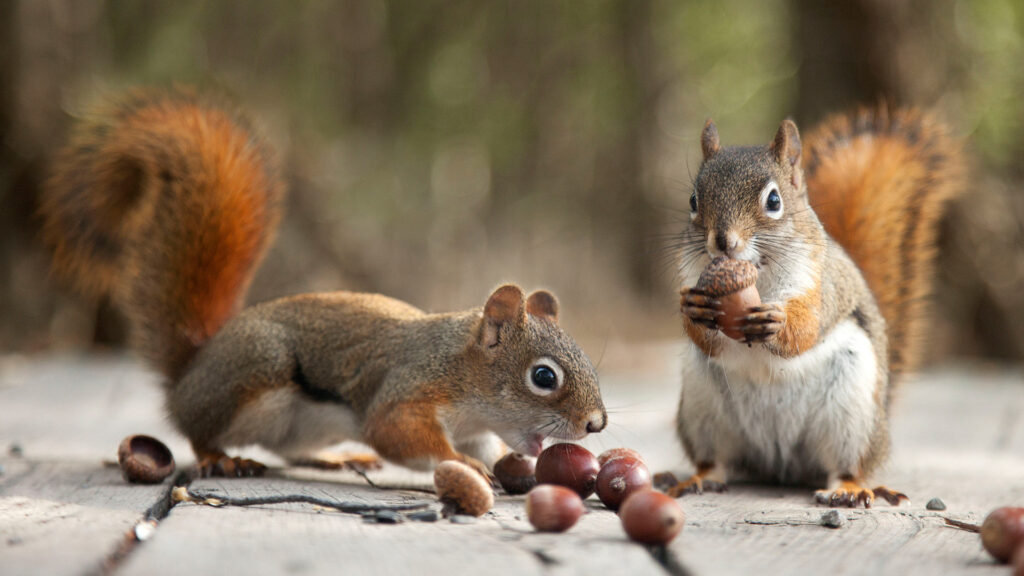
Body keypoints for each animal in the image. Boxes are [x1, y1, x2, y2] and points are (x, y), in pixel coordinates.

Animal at [39, 88, 602, 475]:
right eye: (544, 376)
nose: (597, 424)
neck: (464, 373)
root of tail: (190, 370)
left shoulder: (475, 427)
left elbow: (486, 445)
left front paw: (498, 463)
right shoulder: (410, 391)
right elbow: (399, 434)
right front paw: (462, 467)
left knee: (289, 450)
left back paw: (335, 460)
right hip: (253, 371)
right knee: (197, 429)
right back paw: (221, 457)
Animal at [667, 105, 962, 504]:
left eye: (774, 201)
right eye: (693, 201)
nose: (723, 242)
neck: (758, 274)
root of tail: (779, 465)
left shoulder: (820, 284)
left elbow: (807, 327)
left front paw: (777, 323)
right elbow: (705, 337)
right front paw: (694, 307)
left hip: (852, 416)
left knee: (846, 465)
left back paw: (849, 489)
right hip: (702, 409)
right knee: (715, 459)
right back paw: (698, 478)